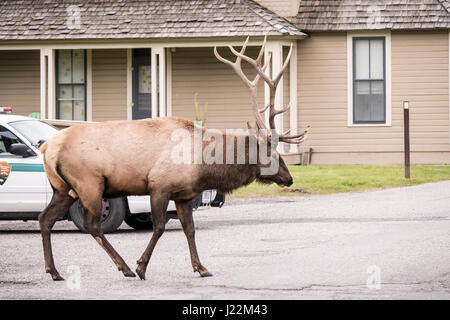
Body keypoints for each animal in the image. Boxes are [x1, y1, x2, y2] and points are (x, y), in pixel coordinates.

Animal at [38, 37, 310, 280]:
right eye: (272, 153)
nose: (289, 178)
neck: (203, 165)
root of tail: (48, 148)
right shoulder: (159, 185)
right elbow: (159, 227)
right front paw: (141, 266)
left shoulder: (185, 195)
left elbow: (190, 229)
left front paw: (201, 268)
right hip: (89, 183)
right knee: (92, 225)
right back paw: (124, 267)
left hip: (63, 188)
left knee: (45, 218)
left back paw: (54, 271)